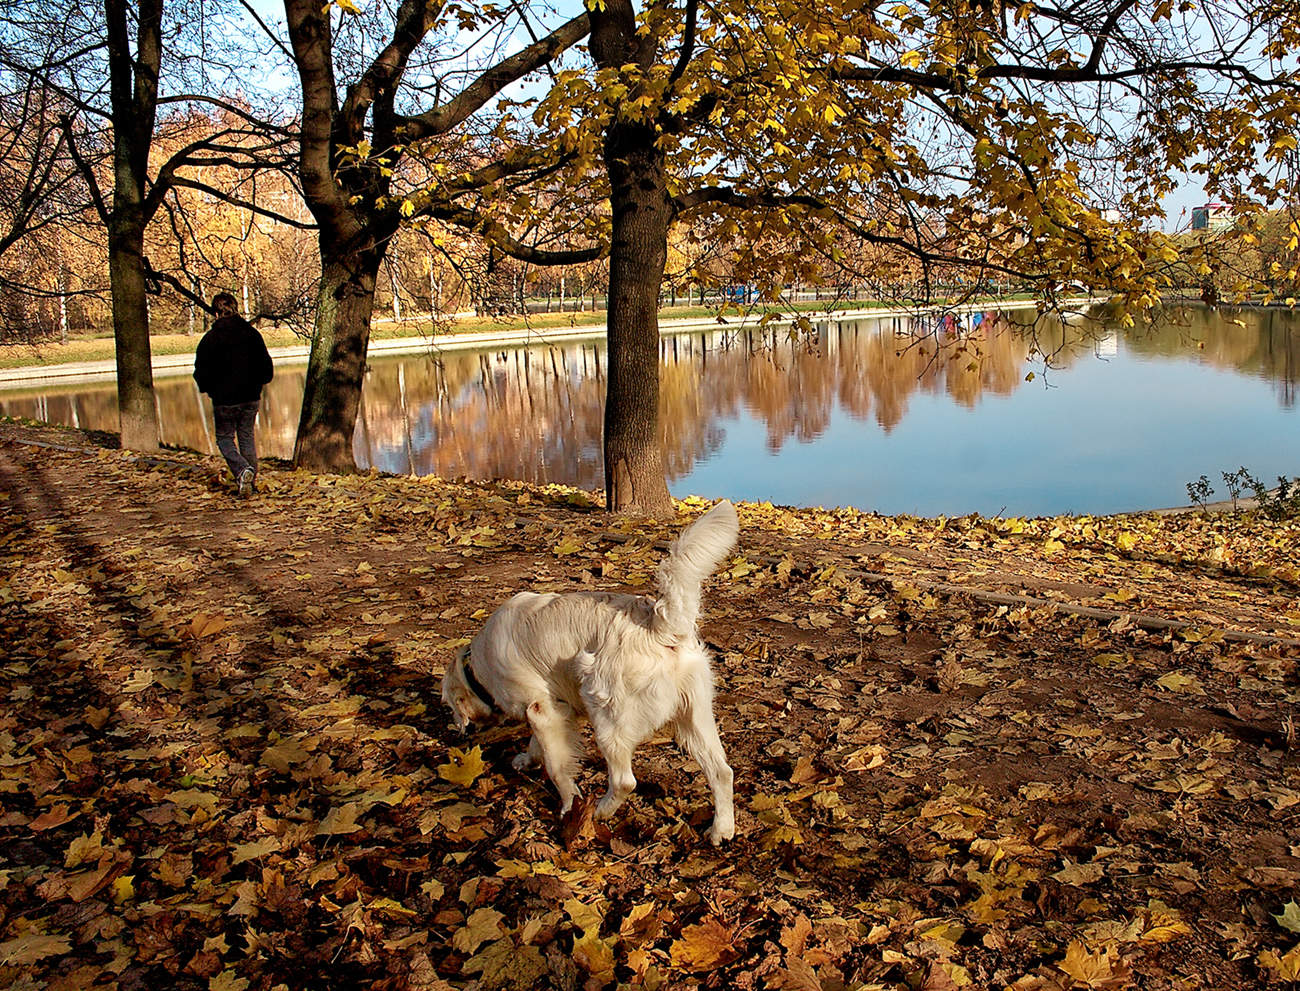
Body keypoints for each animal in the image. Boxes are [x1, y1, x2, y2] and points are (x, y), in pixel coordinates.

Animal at [439, 502, 738, 842]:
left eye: (449, 706)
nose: (456, 730)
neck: (479, 663)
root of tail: (658, 623)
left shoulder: (540, 709)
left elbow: (557, 766)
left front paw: (570, 805)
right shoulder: (557, 708)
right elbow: (538, 745)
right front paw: (527, 759)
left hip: (607, 714)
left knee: (625, 782)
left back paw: (599, 811)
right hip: (694, 718)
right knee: (722, 771)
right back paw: (722, 830)